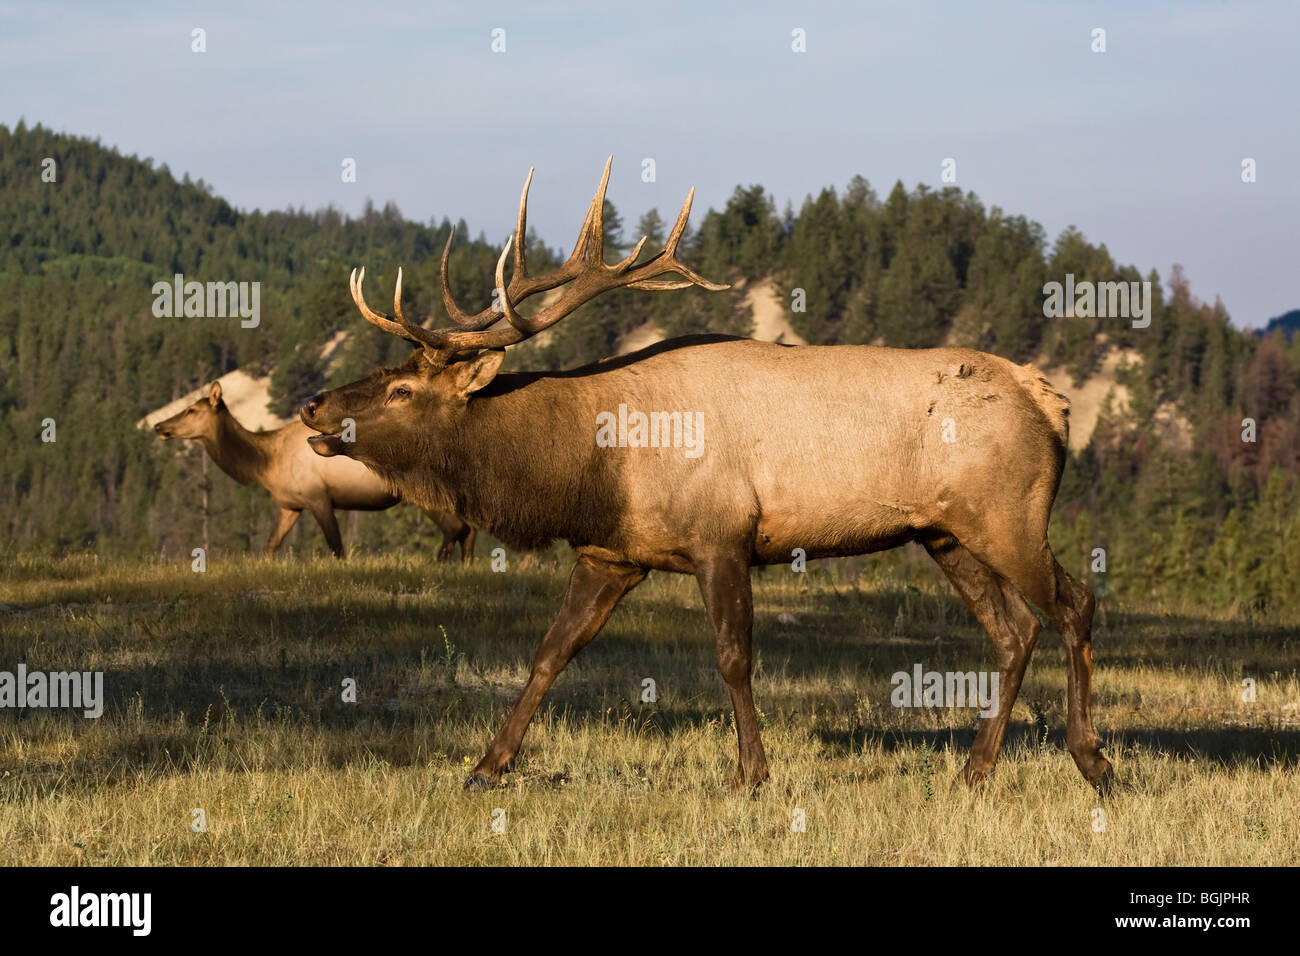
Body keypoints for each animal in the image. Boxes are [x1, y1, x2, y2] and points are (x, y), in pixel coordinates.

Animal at [152, 382, 478, 561]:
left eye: (192, 410)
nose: (158, 426)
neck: (265, 464)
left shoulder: (318, 497)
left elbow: (336, 546)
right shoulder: (290, 505)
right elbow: (270, 546)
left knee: (456, 528)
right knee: (469, 528)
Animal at [299, 160, 1112, 796]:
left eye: (403, 390)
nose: (313, 403)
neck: (593, 471)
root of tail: (1053, 400)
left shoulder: (722, 535)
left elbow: (733, 657)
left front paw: (751, 774)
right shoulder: (612, 553)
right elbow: (550, 652)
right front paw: (485, 765)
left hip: (1008, 516)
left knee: (1074, 604)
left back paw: (1093, 761)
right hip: (945, 532)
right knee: (1013, 630)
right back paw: (974, 771)